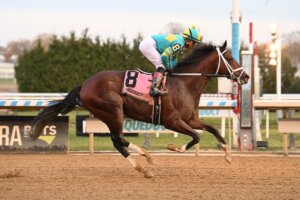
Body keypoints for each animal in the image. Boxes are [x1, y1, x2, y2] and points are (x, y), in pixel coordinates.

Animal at [31, 40, 250, 177]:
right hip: (113, 110)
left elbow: (212, 129)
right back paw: (146, 158)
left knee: (118, 142)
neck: (184, 83)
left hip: (109, 114)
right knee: (118, 139)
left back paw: (143, 167)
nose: (246, 76)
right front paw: (173, 147)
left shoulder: (190, 119)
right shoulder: (172, 121)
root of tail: (84, 85)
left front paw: (228, 154)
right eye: (230, 58)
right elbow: (196, 137)